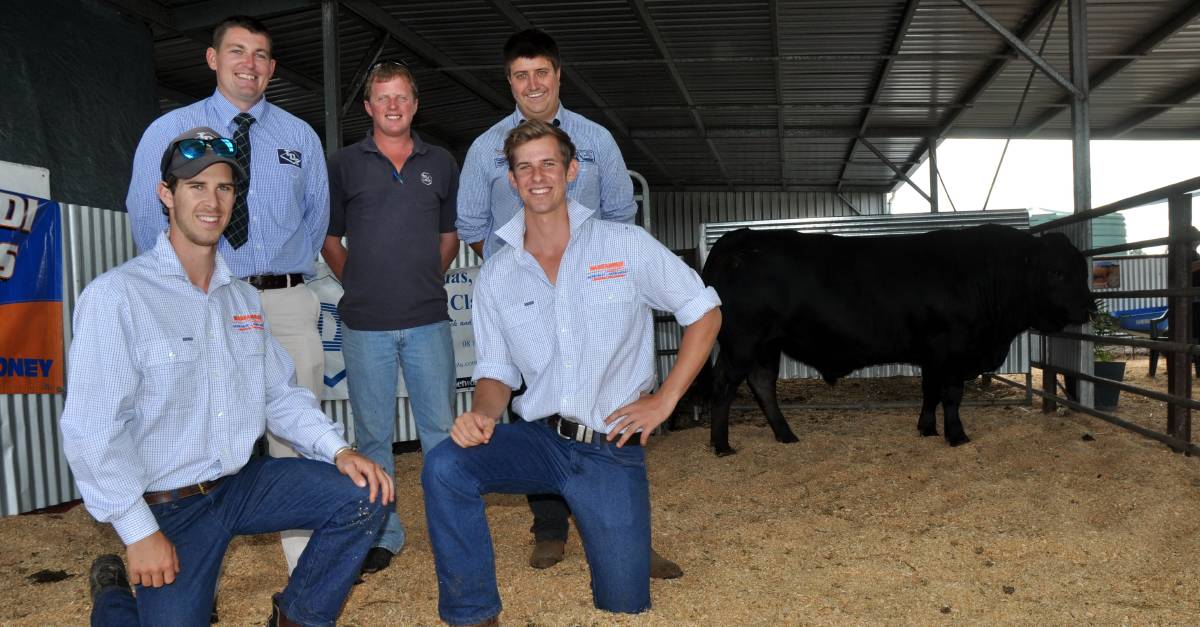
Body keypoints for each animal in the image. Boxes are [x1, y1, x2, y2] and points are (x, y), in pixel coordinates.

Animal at [696, 223, 1099, 454]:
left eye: (1082, 269)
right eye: (1058, 272)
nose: (1089, 307)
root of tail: (740, 237)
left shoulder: (932, 353)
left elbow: (930, 390)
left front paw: (927, 429)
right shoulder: (951, 348)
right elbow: (951, 394)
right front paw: (956, 436)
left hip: (767, 344)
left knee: (762, 384)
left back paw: (785, 435)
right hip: (743, 340)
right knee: (724, 386)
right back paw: (722, 445)